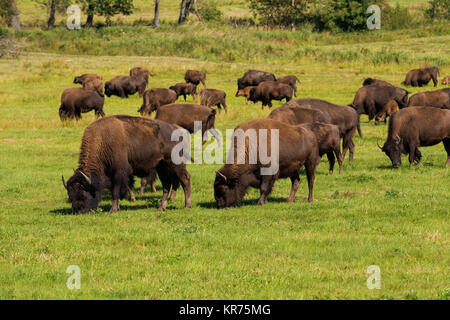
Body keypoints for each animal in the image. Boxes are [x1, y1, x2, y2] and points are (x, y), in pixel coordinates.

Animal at [61, 116, 192, 214]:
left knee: (185, 179)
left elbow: (116, 191)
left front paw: (113, 209)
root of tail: (179, 131)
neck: (102, 141)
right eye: (70, 196)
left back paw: (187, 205)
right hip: (162, 167)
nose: (79, 211)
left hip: (175, 164)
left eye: (83, 195)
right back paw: (161, 208)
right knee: (166, 185)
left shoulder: (119, 172)